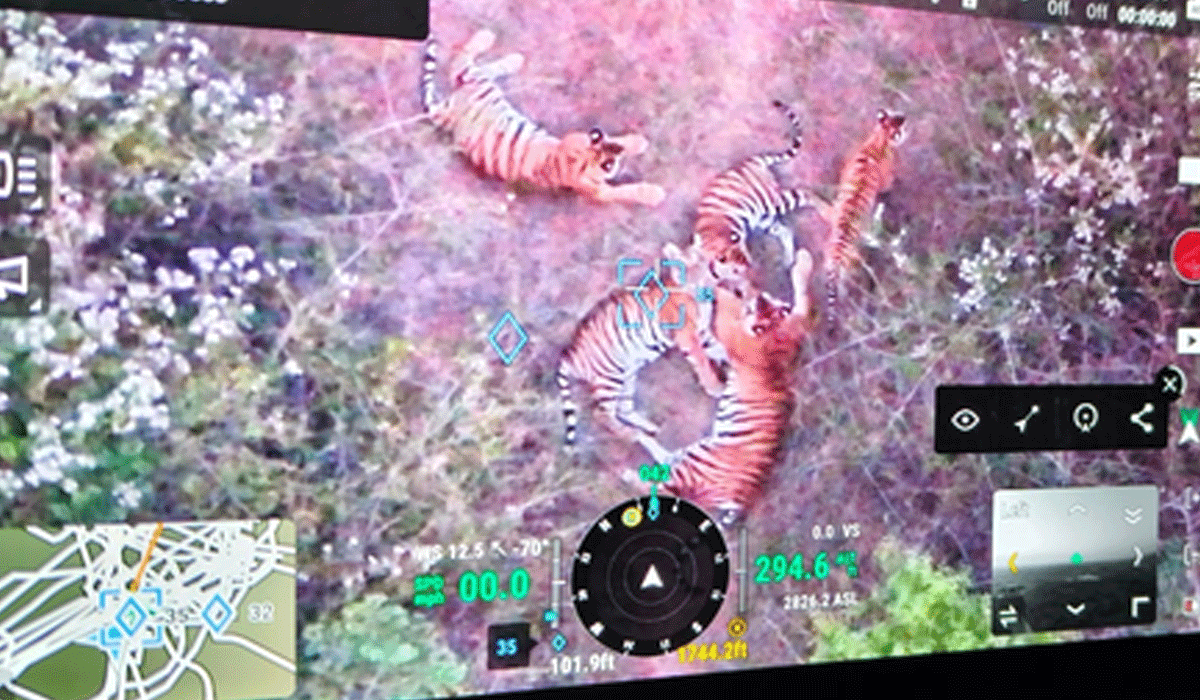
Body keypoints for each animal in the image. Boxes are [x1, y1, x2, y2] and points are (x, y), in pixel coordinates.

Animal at [421, 29, 666, 206]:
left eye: (610, 148)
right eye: (607, 163)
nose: (617, 157)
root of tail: (448, 112)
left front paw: (637, 142)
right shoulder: (597, 191)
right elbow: (625, 191)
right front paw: (655, 193)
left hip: (485, 88)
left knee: (473, 68)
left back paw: (514, 58)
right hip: (481, 87)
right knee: (460, 63)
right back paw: (492, 40)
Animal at [632, 247, 817, 524]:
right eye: (767, 309)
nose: (759, 300)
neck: (772, 335)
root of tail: (740, 499)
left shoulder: (733, 331)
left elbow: (724, 300)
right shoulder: (793, 323)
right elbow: (802, 299)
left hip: (696, 462)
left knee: (662, 484)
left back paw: (631, 467)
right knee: (664, 461)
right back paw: (641, 435)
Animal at [819, 109, 907, 316]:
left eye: (894, 114)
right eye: (899, 123)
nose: (905, 117)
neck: (878, 139)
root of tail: (837, 256)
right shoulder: (886, 180)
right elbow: (890, 185)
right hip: (852, 264)